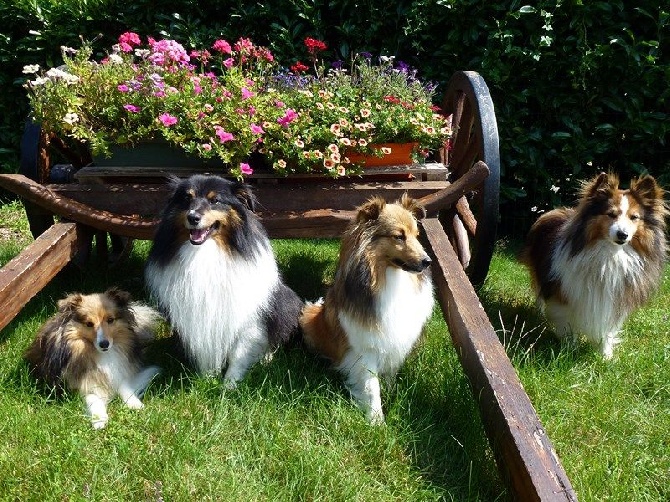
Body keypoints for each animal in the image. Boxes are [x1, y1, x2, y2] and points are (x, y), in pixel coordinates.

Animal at [24, 288, 161, 430]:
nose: (104, 344)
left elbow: (124, 385)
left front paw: (135, 403)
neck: (101, 354)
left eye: (110, 320)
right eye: (89, 324)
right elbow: (93, 398)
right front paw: (99, 419)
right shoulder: (80, 384)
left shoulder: (120, 371)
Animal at [147, 175, 304, 386]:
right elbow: (205, 351)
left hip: (286, 305)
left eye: (215, 200)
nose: (192, 217)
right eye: (187, 199)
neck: (205, 252)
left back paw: (266, 358)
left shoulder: (248, 318)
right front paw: (207, 380)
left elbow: (239, 354)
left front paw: (230, 385)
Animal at [300, 194, 436, 422]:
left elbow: (388, 375)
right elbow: (372, 387)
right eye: (398, 236)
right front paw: (376, 420)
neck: (389, 278)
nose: (428, 261)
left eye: (417, 235)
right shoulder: (365, 347)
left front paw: (390, 393)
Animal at [524, 175, 668, 358]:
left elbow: (607, 328)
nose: (623, 235)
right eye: (611, 214)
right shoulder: (565, 295)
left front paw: (605, 356)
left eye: (634, 217)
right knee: (539, 294)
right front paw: (569, 349)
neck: (610, 255)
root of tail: (557, 211)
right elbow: (567, 323)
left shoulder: (612, 299)